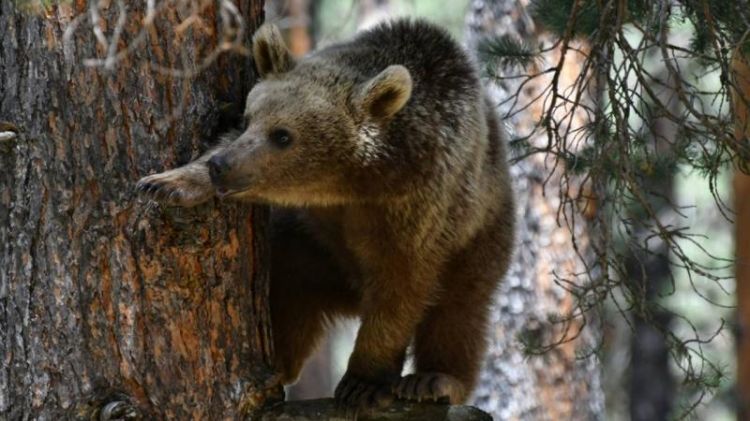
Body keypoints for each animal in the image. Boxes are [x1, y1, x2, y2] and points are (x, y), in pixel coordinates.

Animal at [137, 18, 516, 406]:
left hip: (481, 238)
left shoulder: (420, 204)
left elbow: (401, 288)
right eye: (247, 119)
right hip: (314, 251)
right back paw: (280, 361)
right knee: (290, 284)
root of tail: (352, 298)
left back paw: (434, 379)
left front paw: (362, 381)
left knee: (459, 310)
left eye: (283, 135)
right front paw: (168, 182)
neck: (354, 185)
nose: (221, 167)